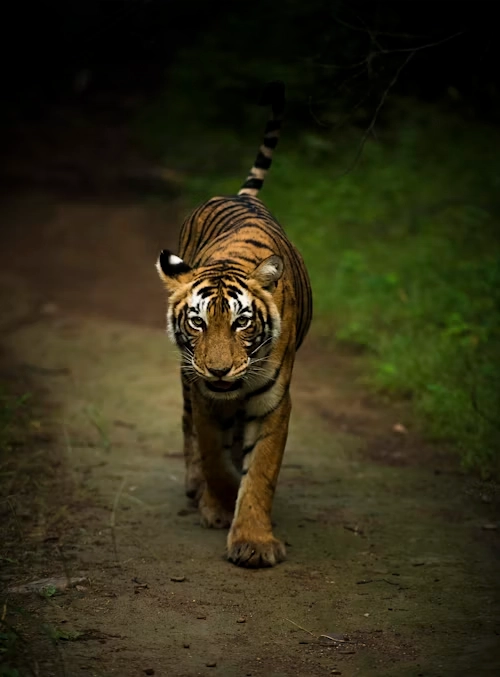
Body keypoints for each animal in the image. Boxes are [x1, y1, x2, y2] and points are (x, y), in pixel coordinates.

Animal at [156, 81, 312, 568]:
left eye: (243, 322)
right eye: (197, 323)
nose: (220, 370)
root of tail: (242, 195)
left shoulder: (274, 403)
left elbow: (260, 471)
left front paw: (253, 541)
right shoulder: (204, 394)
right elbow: (212, 453)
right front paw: (219, 503)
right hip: (186, 379)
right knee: (188, 427)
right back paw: (197, 489)